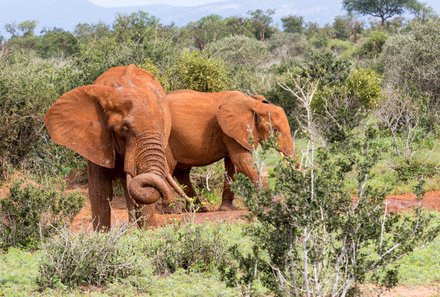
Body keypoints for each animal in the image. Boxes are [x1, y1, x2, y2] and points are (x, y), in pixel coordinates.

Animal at [165, 89, 296, 209]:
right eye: (275, 130)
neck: (254, 104)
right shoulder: (229, 131)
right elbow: (242, 161)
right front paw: (276, 203)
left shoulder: (231, 133)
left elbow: (232, 165)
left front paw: (227, 208)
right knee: (170, 168)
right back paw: (170, 210)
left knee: (182, 172)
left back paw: (199, 209)